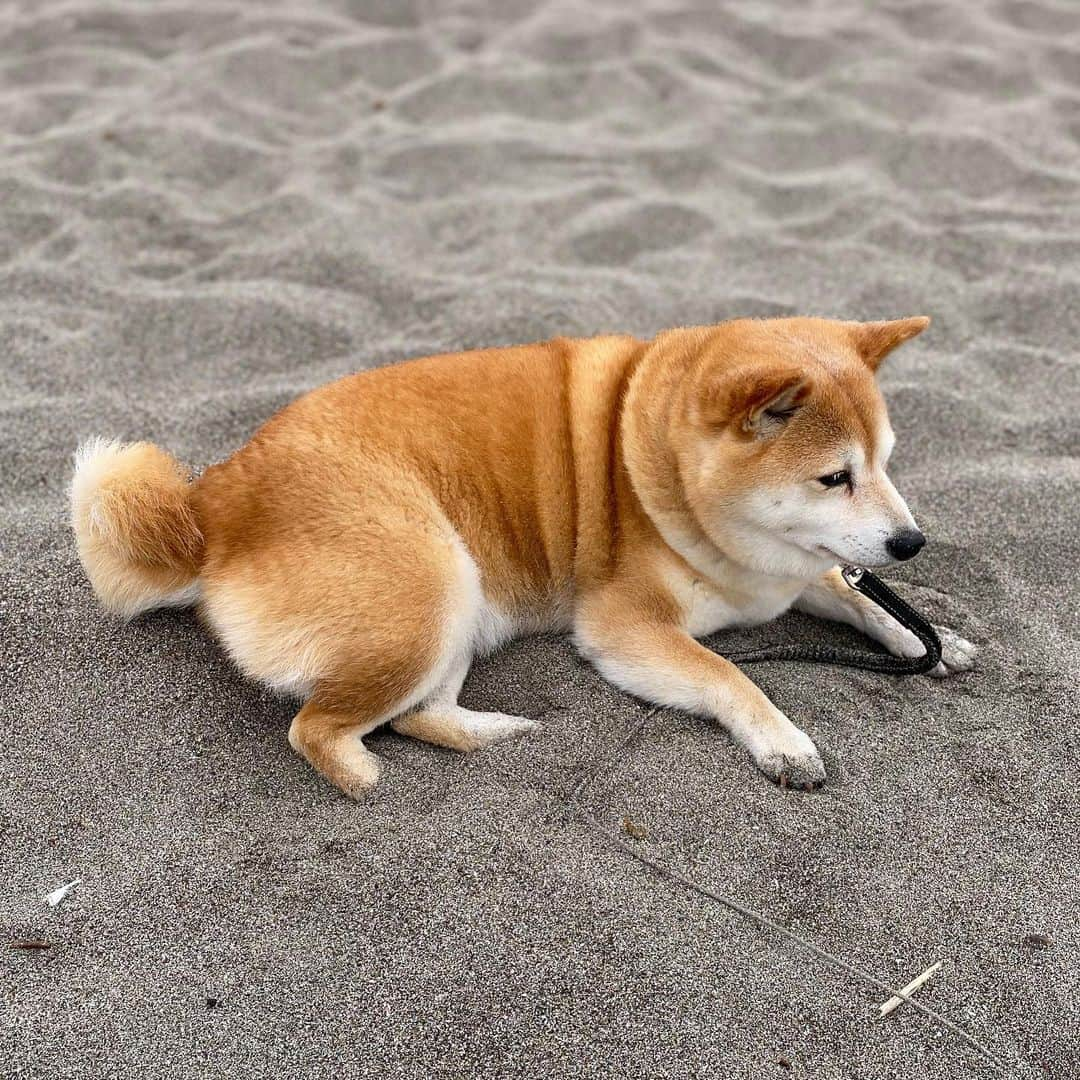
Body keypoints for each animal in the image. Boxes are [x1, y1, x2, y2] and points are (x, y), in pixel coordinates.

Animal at [67, 315, 980, 799]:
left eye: (887, 462)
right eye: (835, 477)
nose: (911, 541)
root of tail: (211, 501)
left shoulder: (786, 577)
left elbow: (854, 591)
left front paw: (927, 640)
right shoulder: (625, 627)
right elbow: (730, 674)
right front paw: (782, 740)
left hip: (453, 607)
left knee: (418, 713)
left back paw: (499, 730)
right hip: (434, 580)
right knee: (321, 728)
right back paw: (373, 774)